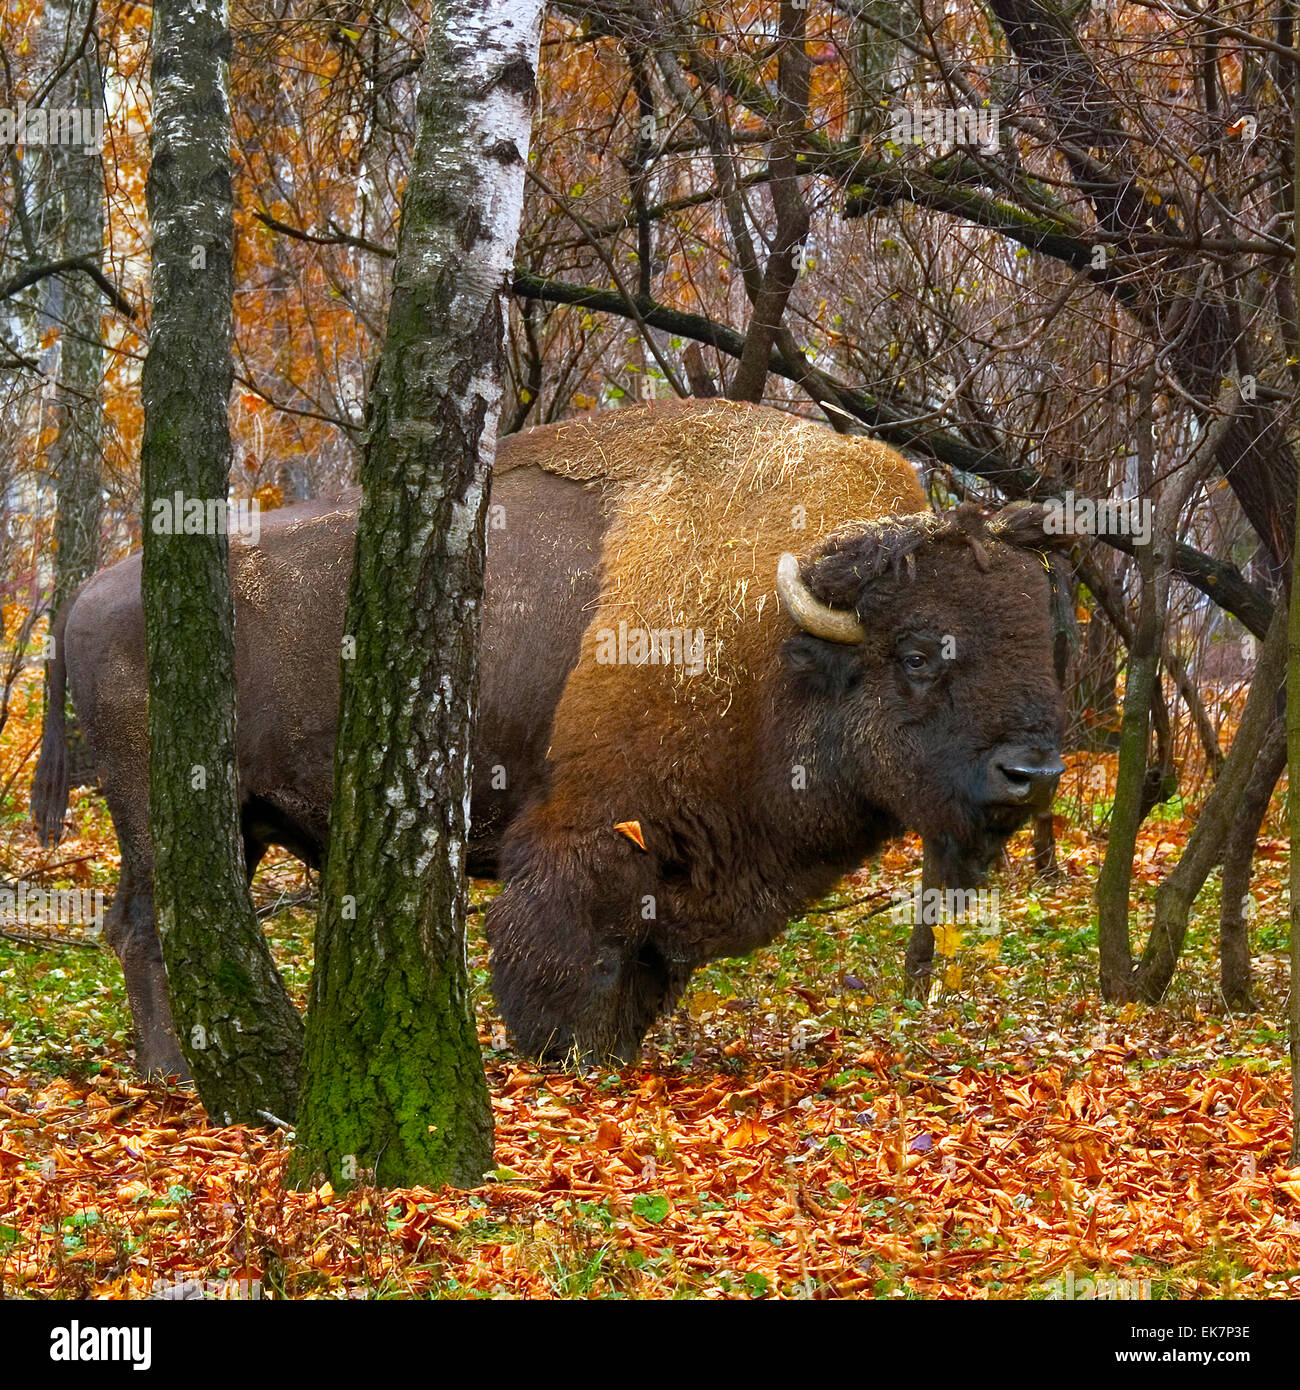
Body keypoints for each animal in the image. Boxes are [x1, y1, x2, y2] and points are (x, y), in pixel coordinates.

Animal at [32, 399, 1065, 1074]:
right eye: (919, 654)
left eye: (1042, 642)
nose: (1034, 770)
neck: (771, 639)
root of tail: (88, 595)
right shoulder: (586, 842)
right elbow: (569, 963)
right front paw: (563, 1060)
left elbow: (643, 973)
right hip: (162, 810)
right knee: (147, 925)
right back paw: (173, 1069)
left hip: (233, 823)